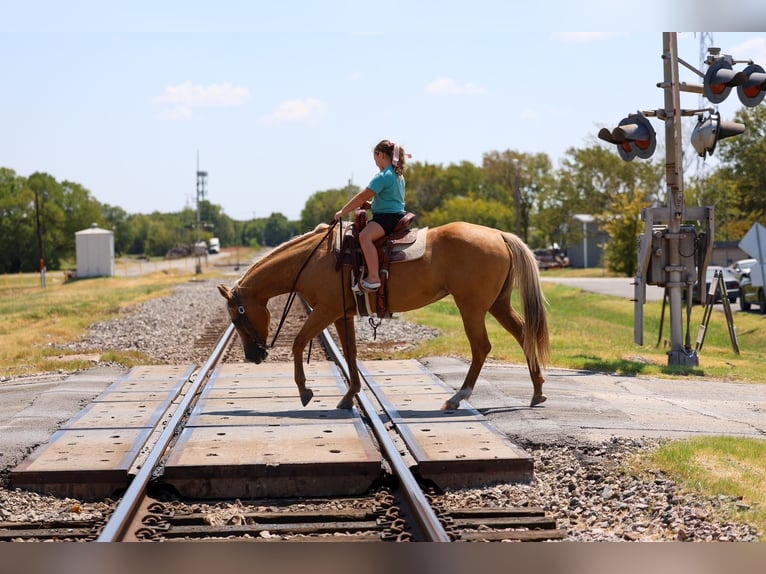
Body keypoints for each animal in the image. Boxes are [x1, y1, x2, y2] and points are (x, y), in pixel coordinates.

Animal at [218, 221, 550, 411]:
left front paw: (304, 391)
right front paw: (349, 395)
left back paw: (457, 398)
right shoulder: (341, 314)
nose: (253, 357)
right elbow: (350, 353)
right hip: (497, 304)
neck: (313, 259)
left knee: (481, 347)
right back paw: (537, 392)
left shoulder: (325, 311)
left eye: (237, 318)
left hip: (471, 307)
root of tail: (499, 235)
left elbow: (299, 343)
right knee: (523, 334)